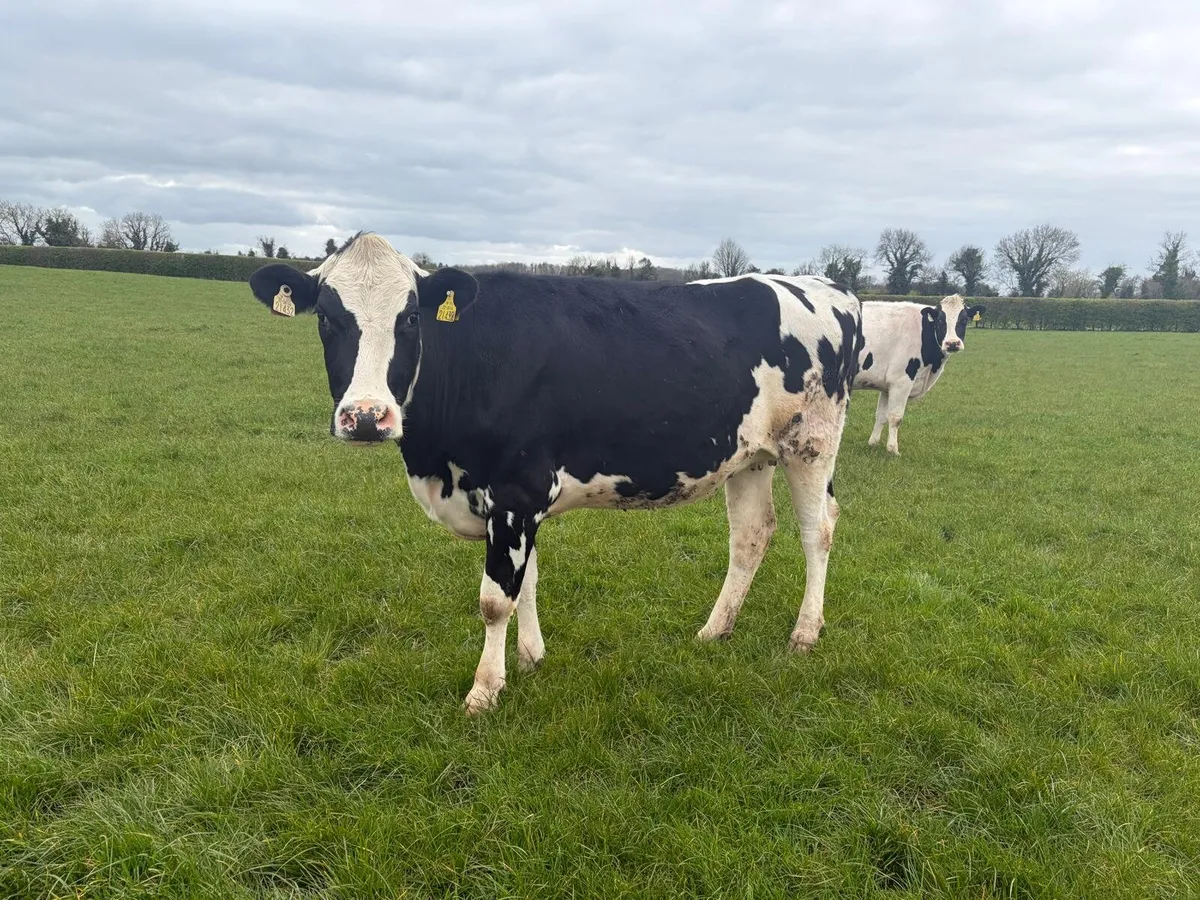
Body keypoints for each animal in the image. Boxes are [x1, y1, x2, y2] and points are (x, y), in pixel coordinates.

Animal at [247, 233, 862, 714]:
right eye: (327, 318)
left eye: (411, 317)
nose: (367, 417)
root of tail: (830, 287)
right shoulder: (518, 501)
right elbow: (527, 583)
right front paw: (531, 658)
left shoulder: (515, 490)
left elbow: (495, 598)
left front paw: (484, 691)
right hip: (749, 455)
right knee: (751, 536)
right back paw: (715, 630)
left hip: (812, 444)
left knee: (819, 531)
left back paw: (804, 634)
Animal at [851, 293, 985, 455]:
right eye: (940, 320)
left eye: (965, 320)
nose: (952, 343)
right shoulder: (901, 381)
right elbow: (895, 417)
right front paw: (893, 450)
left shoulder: (886, 386)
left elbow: (881, 415)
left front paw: (873, 443)